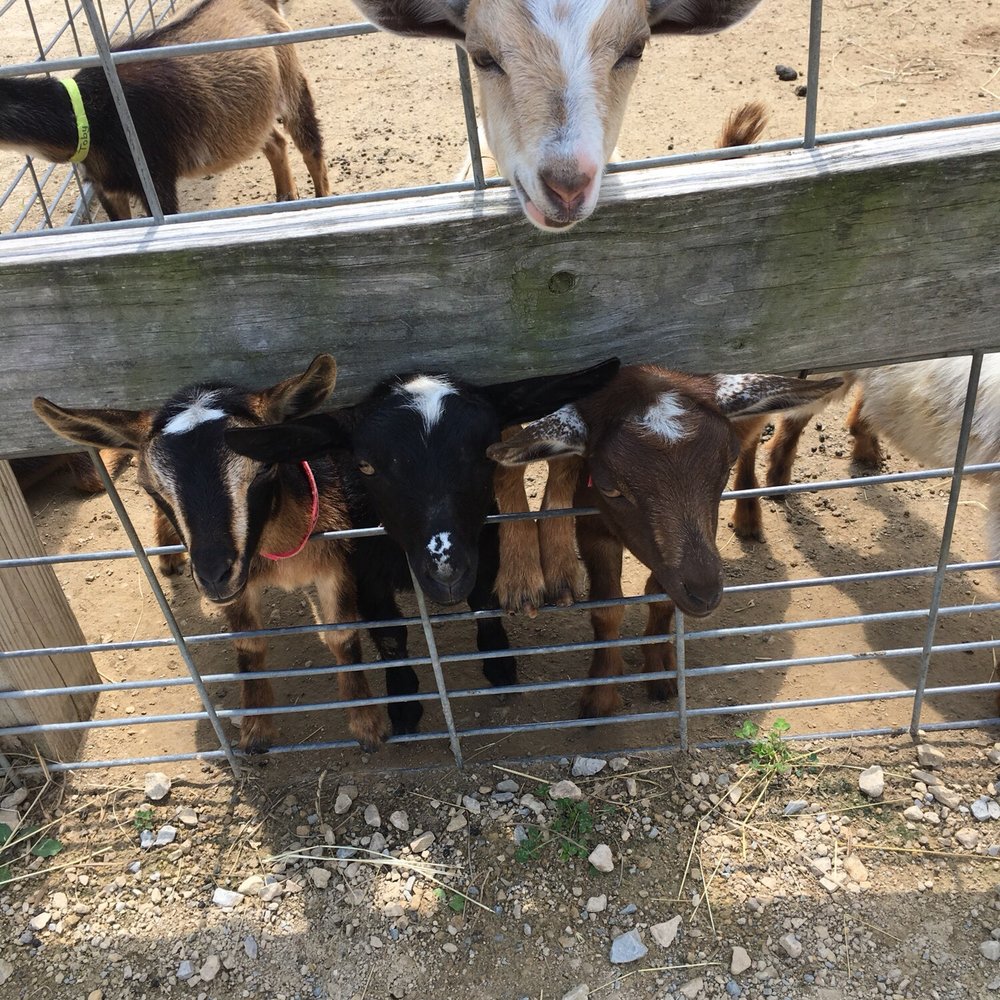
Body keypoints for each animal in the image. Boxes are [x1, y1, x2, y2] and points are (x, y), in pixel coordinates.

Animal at [0, 0, 329, 220]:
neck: (89, 112)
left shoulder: (155, 175)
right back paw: (285, 196)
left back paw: (321, 201)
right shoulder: (107, 187)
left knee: (310, 146)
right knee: (274, 141)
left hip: (290, 80)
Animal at [224, 359, 620, 736]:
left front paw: (499, 663)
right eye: (365, 466)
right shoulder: (361, 567)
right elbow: (389, 635)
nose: (446, 572)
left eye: (485, 454)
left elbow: (484, 604)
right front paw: (402, 703)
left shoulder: (484, 544)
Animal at [488, 366, 843, 718]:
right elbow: (606, 608)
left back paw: (748, 515)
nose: (706, 595)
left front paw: (659, 667)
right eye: (610, 488)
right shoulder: (593, 523)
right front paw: (600, 694)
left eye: (726, 465)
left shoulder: (686, 552)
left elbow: (661, 598)